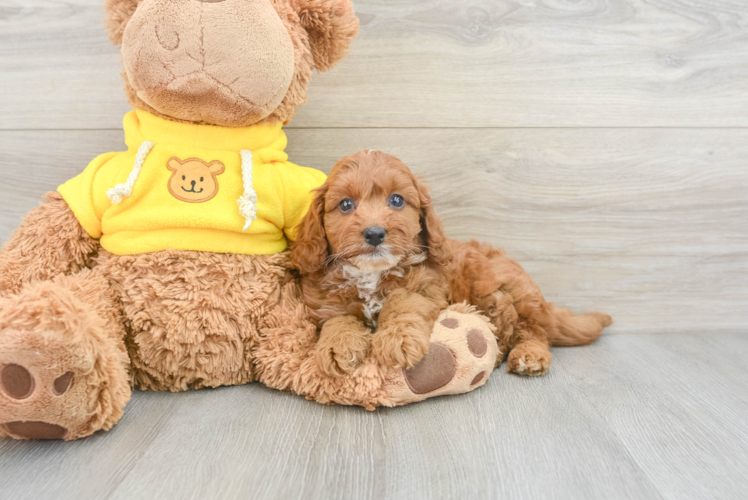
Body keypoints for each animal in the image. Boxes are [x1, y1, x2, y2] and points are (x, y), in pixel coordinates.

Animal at [290, 150, 612, 376]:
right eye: (345, 204)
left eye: (396, 200)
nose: (374, 233)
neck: (372, 273)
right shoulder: (325, 303)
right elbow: (338, 320)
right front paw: (339, 347)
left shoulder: (425, 288)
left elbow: (403, 305)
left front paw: (397, 341)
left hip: (502, 292)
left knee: (531, 330)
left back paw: (528, 355)